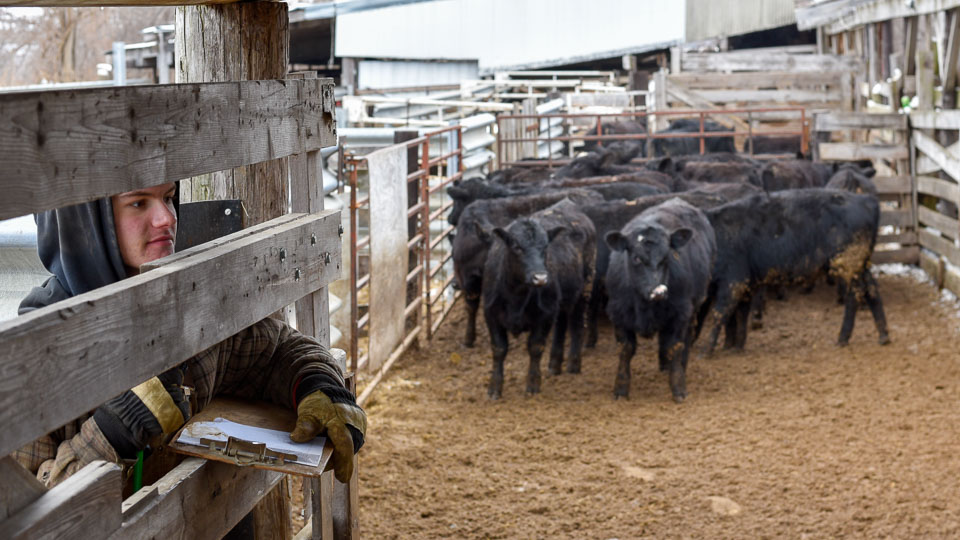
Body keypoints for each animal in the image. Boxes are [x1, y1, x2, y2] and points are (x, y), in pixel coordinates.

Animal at [481, 199, 596, 399]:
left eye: (545, 248)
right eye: (517, 247)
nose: (540, 278)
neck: (516, 296)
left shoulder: (545, 315)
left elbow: (535, 347)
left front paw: (533, 385)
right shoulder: (491, 313)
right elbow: (499, 349)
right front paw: (494, 388)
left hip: (584, 289)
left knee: (576, 324)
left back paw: (573, 364)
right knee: (562, 325)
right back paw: (554, 365)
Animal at [604, 198, 717, 402]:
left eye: (667, 257)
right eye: (636, 258)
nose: (659, 291)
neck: (644, 306)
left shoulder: (680, 313)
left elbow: (675, 346)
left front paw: (678, 387)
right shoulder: (618, 313)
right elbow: (625, 350)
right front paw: (621, 389)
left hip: (693, 308)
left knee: (685, 338)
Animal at [702, 189, 890, 354]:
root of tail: (867, 200)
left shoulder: (734, 281)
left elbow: (722, 312)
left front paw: (709, 350)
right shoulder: (745, 284)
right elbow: (737, 314)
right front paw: (732, 347)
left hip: (848, 263)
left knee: (855, 295)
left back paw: (842, 339)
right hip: (860, 264)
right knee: (871, 289)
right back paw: (883, 337)